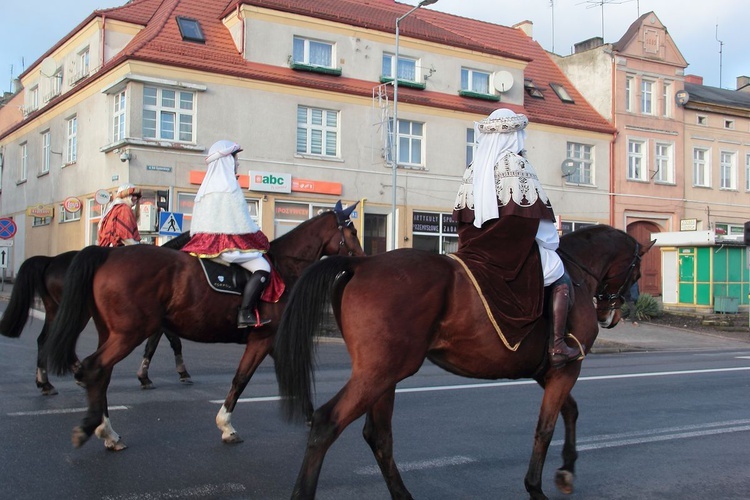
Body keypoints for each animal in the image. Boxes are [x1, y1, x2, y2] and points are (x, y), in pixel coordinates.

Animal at [1, 233, 194, 394]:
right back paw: (76, 374)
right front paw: (177, 373)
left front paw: (147, 377)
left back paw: (45, 383)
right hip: (78, 314)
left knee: (43, 340)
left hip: (55, 311)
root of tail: (51, 260)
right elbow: (164, 344)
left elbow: (161, 345)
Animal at [44, 201, 368, 452]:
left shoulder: (271, 341)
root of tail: (108, 254)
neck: (283, 267)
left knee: (102, 375)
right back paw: (95, 428)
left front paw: (311, 415)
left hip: (111, 333)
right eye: (352, 231)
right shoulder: (262, 339)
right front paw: (226, 426)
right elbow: (240, 379)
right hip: (128, 334)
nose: (364, 260)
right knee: (95, 368)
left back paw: (107, 431)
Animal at [276, 227, 656, 500]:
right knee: (327, 423)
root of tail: (363, 263)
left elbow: (570, 413)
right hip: (379, 373)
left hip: (384, 375)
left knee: (378, 436)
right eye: (636, 270)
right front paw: (537, 486)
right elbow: (546, 428)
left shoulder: (549, 373)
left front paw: (566, 471)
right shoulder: (565, 369)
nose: (612, 314)